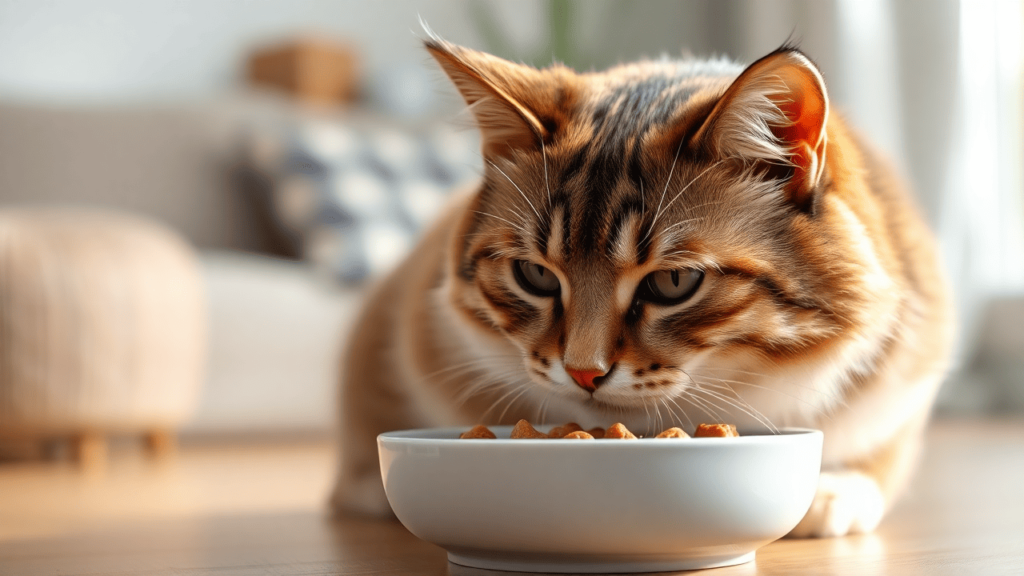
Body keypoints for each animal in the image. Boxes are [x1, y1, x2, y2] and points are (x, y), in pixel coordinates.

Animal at [331, 35, 954, 537]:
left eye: (674, 282)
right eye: (535, 275)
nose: (583, 373)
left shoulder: (907, 380)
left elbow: (878, 450)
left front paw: (833, 490)